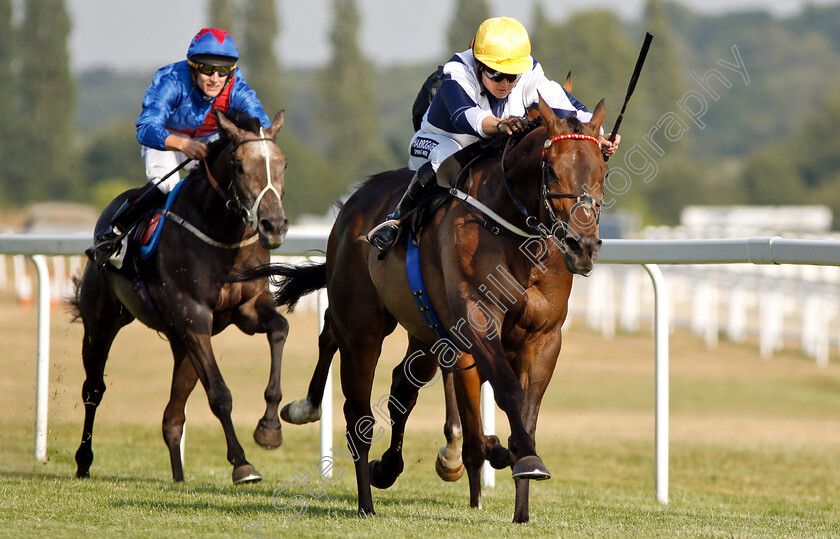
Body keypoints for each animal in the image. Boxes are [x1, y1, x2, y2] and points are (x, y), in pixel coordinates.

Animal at [73, 109, 296, 486]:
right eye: (239, 166)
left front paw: (269, 429)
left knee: (173, 415)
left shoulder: (247, 310)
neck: (222, 235)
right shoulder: (194, 318)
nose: (274, 225)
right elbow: (220, 394)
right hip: (103, 321)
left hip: (181, 342)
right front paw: (242, 463)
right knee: (94, 389)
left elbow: (280, 329)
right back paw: (84, 460)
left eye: (282, 163)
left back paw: (178, 476)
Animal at [246, 98, 608, 524]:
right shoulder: (476, 323)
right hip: (363, 330)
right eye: (551, 169)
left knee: (402, 384)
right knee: (356, 408)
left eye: (602, 169)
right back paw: (362, 496)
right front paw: (515, 458)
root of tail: (355, 201)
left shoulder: (543, 338)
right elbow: (506, 391)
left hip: (423, 332)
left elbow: (527, 411)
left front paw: (522, 496)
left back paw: (385, 466)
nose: (583, 245)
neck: (515, 236)